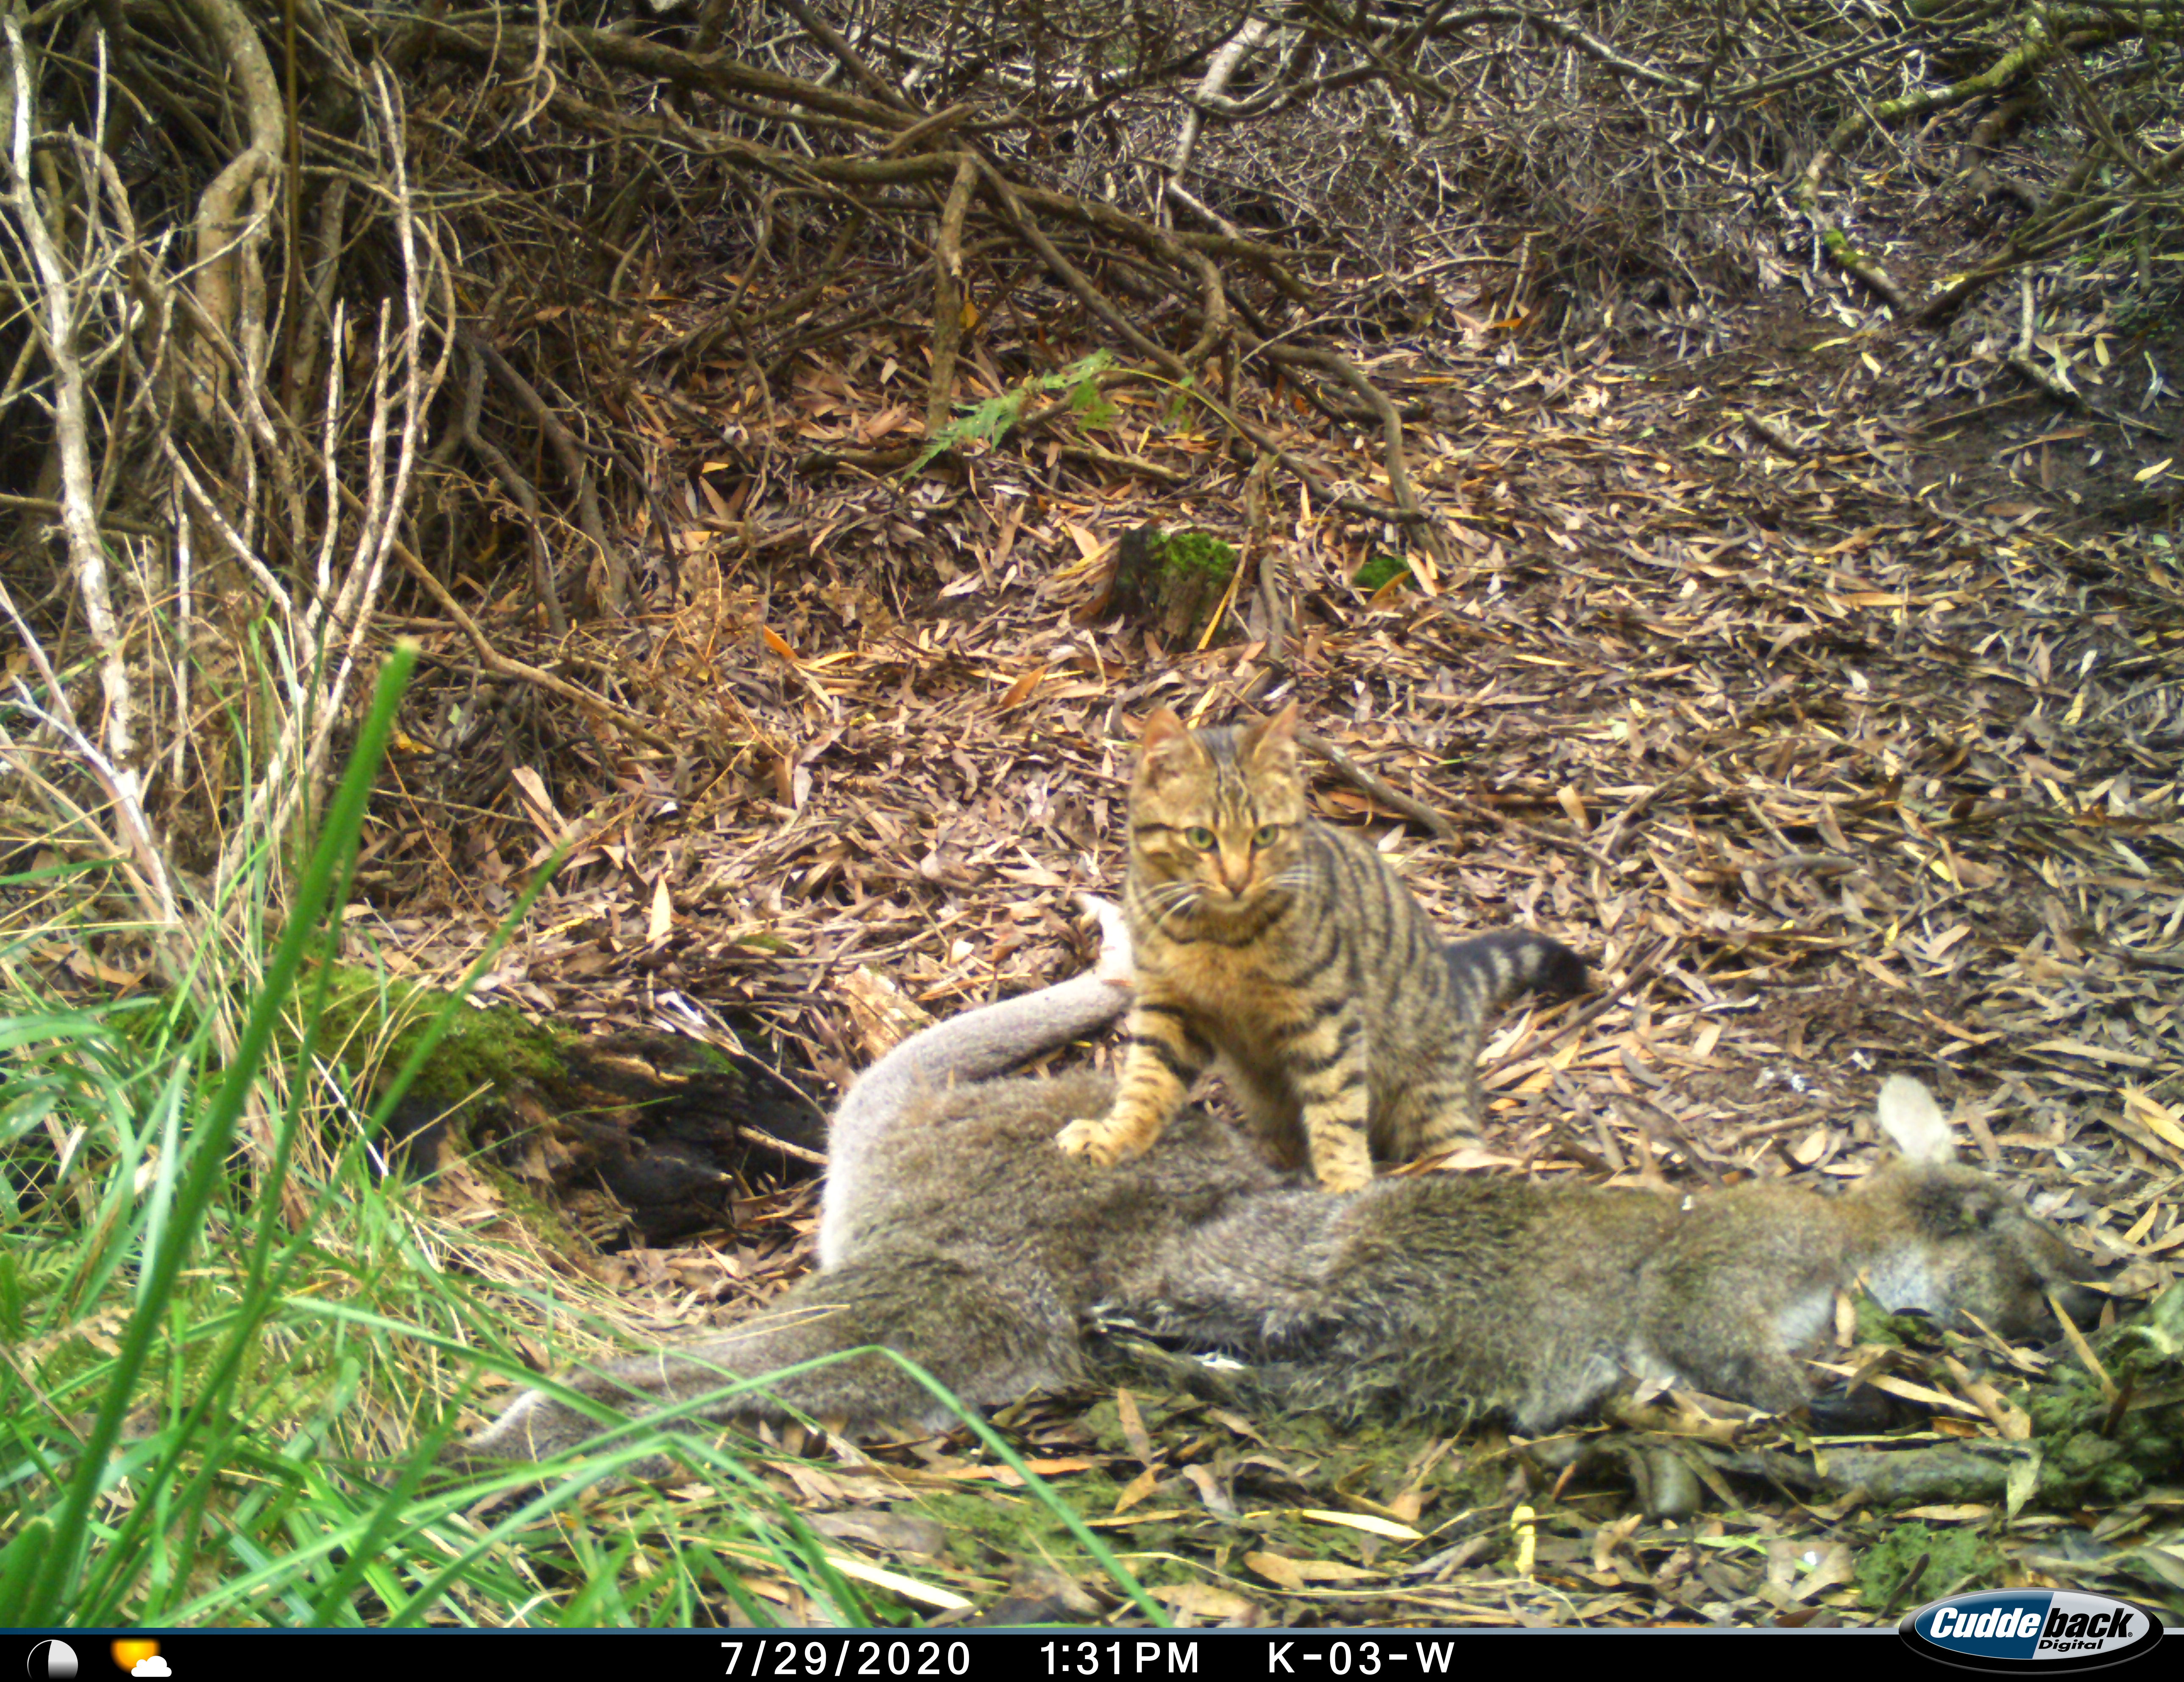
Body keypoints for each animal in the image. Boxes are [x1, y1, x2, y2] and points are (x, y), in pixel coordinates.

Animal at [1057, 699, 1590, 1188]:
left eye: (1265, 835)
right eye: (1201, 838)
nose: (1236, 881)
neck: (1217, 935)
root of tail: (1455, 978)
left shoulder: (1325, 1016)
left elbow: (1337, 1108)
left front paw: (1345, 1185)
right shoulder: (1171, 1006)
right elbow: (1147, 1082)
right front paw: (1113, 1135)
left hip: (1431, 1102)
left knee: (1458, 1147)